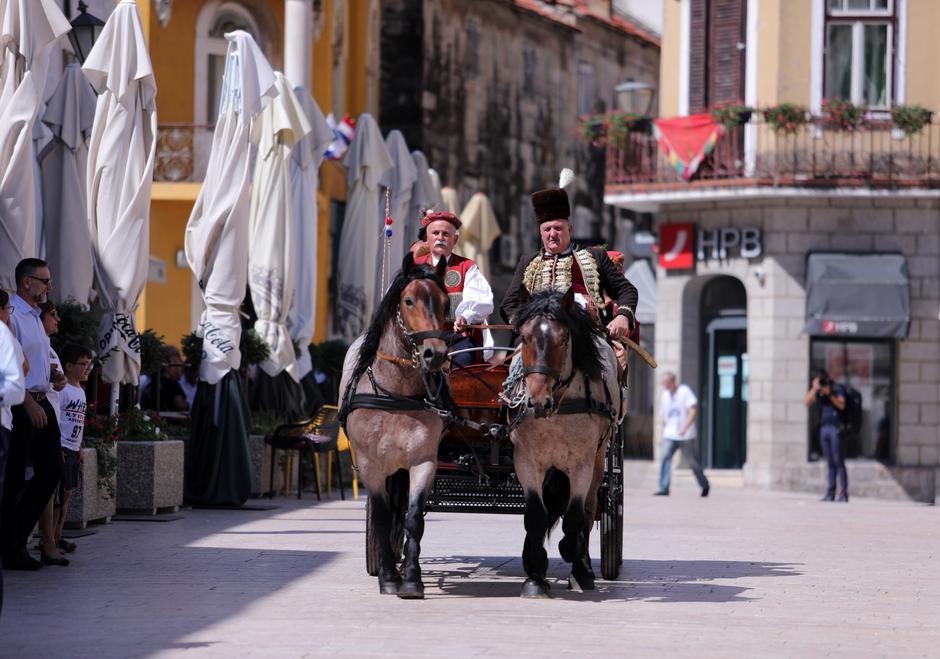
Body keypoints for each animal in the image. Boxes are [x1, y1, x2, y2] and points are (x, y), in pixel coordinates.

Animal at [342, 255, 452, 600]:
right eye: (408, 301)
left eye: (445, 303)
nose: (435, 354)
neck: (396, 393)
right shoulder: (370, 464)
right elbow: (380, 515)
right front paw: (389, 577)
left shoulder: (424, 461)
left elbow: (414, 517)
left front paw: (412, 579)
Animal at [510, 288, 620, 600]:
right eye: (524, 337)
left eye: (563, 339)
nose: (537, 401)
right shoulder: (526, 460)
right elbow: (535, 515)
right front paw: (535, 576)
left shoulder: (581, 462)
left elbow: (575, 517)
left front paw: (573, 557)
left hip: (599, 458)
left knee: (589, 510)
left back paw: (583, 567)